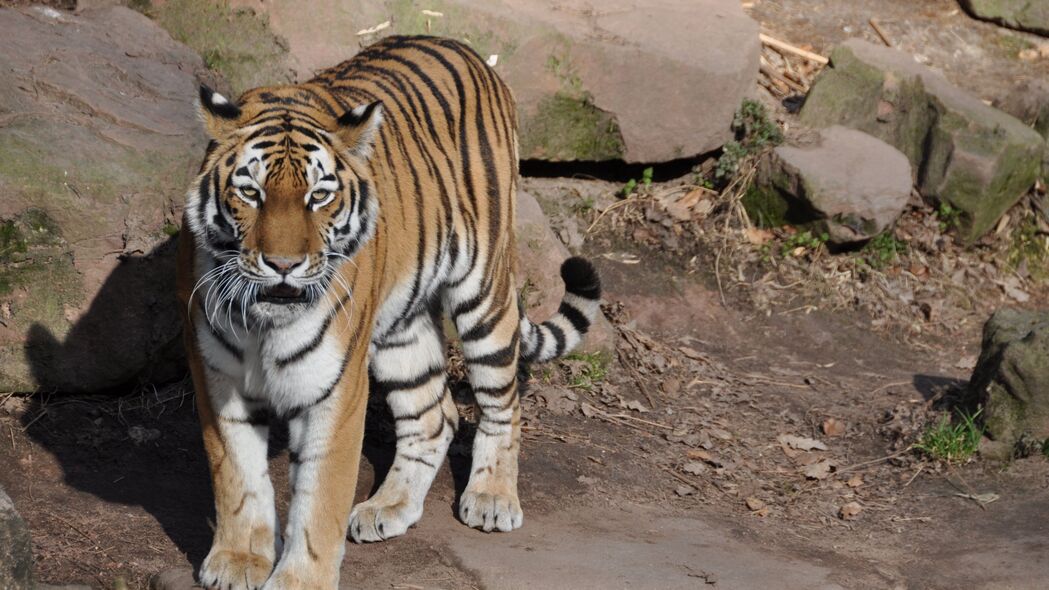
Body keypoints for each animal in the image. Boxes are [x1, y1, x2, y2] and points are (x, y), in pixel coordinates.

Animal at [176, 34, 604, 583]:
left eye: (319, 196)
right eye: (250, 192)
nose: (284, 266)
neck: (263, 325)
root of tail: (463, 48)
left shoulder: (335, 388)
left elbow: (320, 500)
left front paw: (299, 581)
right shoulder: (217, 378)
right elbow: (237, 476)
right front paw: (239, 561)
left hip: (483, 293)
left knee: (501, 404)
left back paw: (491, 498)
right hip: (402, 327)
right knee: (434, 414)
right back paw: (388, 507)